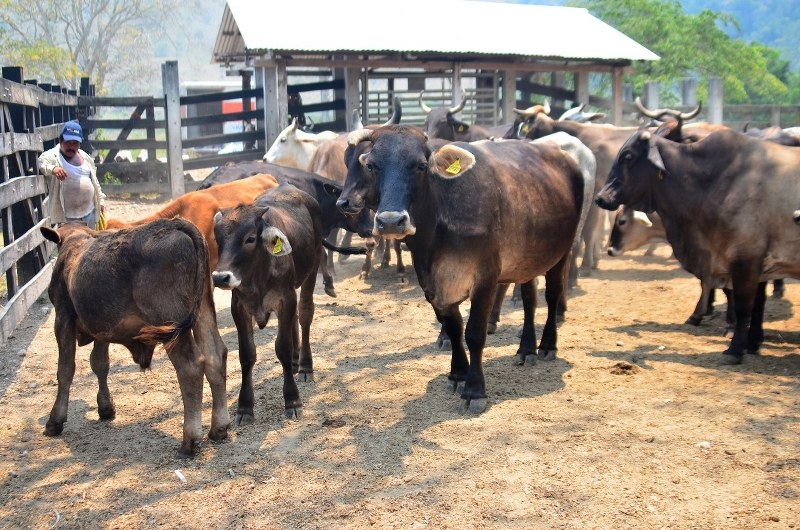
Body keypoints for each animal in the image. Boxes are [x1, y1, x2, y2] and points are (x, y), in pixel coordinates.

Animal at [41, 217, 230, 456]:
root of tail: (177, 224)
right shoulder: (102, 326)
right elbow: (100, 364)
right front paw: (106, 408)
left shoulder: (63, 317)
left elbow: (65, 370)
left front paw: (55, 420)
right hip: (203, 308)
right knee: (215, 355)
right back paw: (219, 428)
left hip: (171, 324)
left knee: (191, 366)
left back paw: (189, 440)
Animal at [336, 125, 580, 412]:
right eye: (372, 166)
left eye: (421, 165)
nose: (391, 221)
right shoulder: (431, 281)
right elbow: (453, 327)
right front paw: (457, 374)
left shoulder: (485, 277)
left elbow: (474, 332)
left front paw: (475, 389)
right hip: (527, 259)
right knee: (530, 300)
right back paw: (526, 349)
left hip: (561, 252)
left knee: (552, 296)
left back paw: (547, 345)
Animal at [596, 125, 800, 364]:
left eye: (628, 156)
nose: (600, 198)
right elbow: (746, 299)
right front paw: (750, 341)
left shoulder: (746, 258)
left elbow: (743, 304)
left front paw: (735, 346)